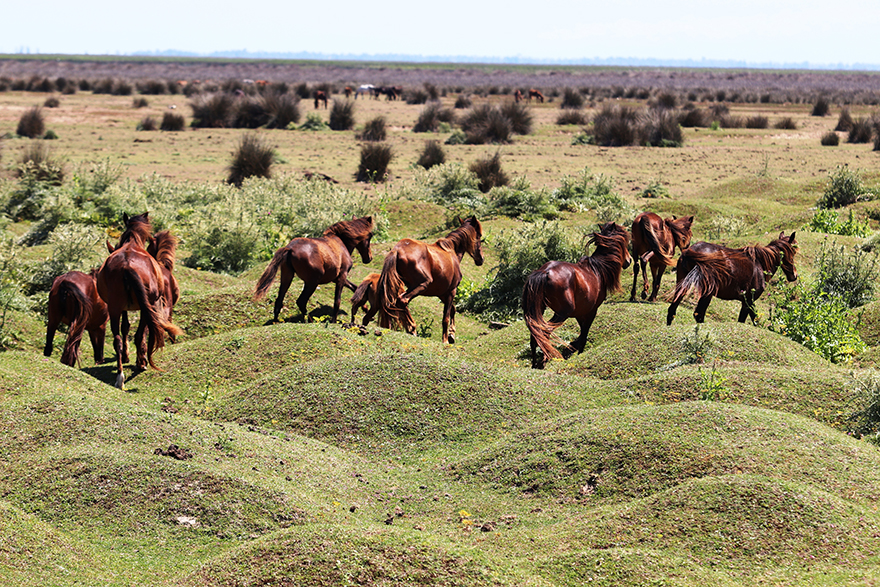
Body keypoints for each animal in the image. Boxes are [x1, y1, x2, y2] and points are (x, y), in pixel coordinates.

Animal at [96, 212, 184, 390]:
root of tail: (127, 265)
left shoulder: (122, 308)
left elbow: (125, 327)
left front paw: (127, 356)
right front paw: (138, 359)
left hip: (114, 308)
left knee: (117, 339)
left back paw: (120, 376)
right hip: (145, 307)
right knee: (139, 334)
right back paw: (141, 363)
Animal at [378, 216, 484, 344]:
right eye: (479, 236)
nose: (481, 259)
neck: (451, 251)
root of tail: (397, 250)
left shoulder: (442, 294)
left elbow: (453, 310)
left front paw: (452, 334)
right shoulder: (451, 291)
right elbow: (446, 317)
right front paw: (445, 340)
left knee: (395, 302)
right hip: (422, 285)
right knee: (402, 300)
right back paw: (411, 328)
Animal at [524, 220, 632, 368]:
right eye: (625, 241)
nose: (629, 260)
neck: (597, 270)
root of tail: (545, 272)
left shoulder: (580, 313)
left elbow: (582, 334)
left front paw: (570, 348)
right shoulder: (591, 311)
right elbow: (584, 335)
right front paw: (573, 350)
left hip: (539, 309)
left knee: (535, 334)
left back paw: (536, 364)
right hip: (562, 313)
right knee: (545, 332)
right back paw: (544, 361)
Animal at [668, 232, 796, 326]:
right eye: (794, 251)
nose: (794, 276)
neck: (760, 264)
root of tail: (690, 251)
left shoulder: (747, 302)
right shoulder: (748, 301)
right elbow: (745, 321)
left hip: (682, 285)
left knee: (672, 311)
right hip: (707, 293)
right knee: (698, 314)